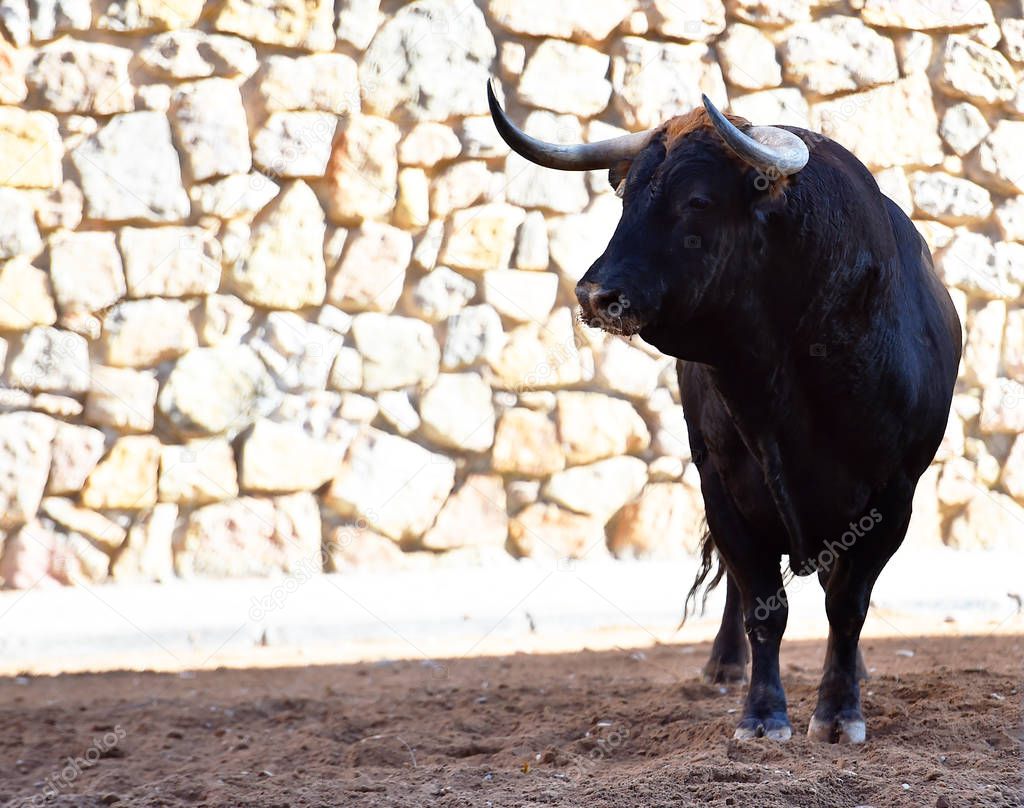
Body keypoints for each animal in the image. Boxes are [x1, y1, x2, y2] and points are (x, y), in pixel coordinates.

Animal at [491, 83, 962, 745]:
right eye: (628, 196)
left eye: (697, 201)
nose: (595, 295)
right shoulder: (722, 485)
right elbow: (763, 604)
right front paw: (762, 715)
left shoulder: (892, 498)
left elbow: (847, 604)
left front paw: (840, 712)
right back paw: (725, 666)